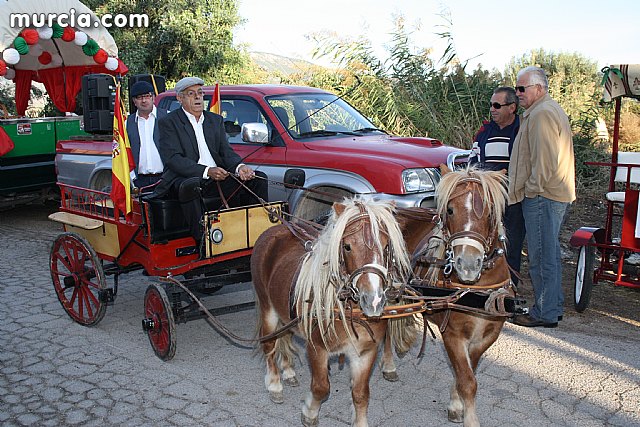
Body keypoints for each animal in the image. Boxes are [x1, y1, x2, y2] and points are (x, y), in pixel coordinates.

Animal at [250, 197, 420, 427]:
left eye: (386, 247)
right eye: (347, 246)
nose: (373, 300)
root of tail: (273, 229)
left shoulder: (366, 352)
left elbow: (361, 394)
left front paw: (360, 421)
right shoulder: (317, 349)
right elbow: (321, 388)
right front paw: (309, 413)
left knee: (284, 336)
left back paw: (288, 371)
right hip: (268, 309)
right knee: (269, 344)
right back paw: (275, 385)